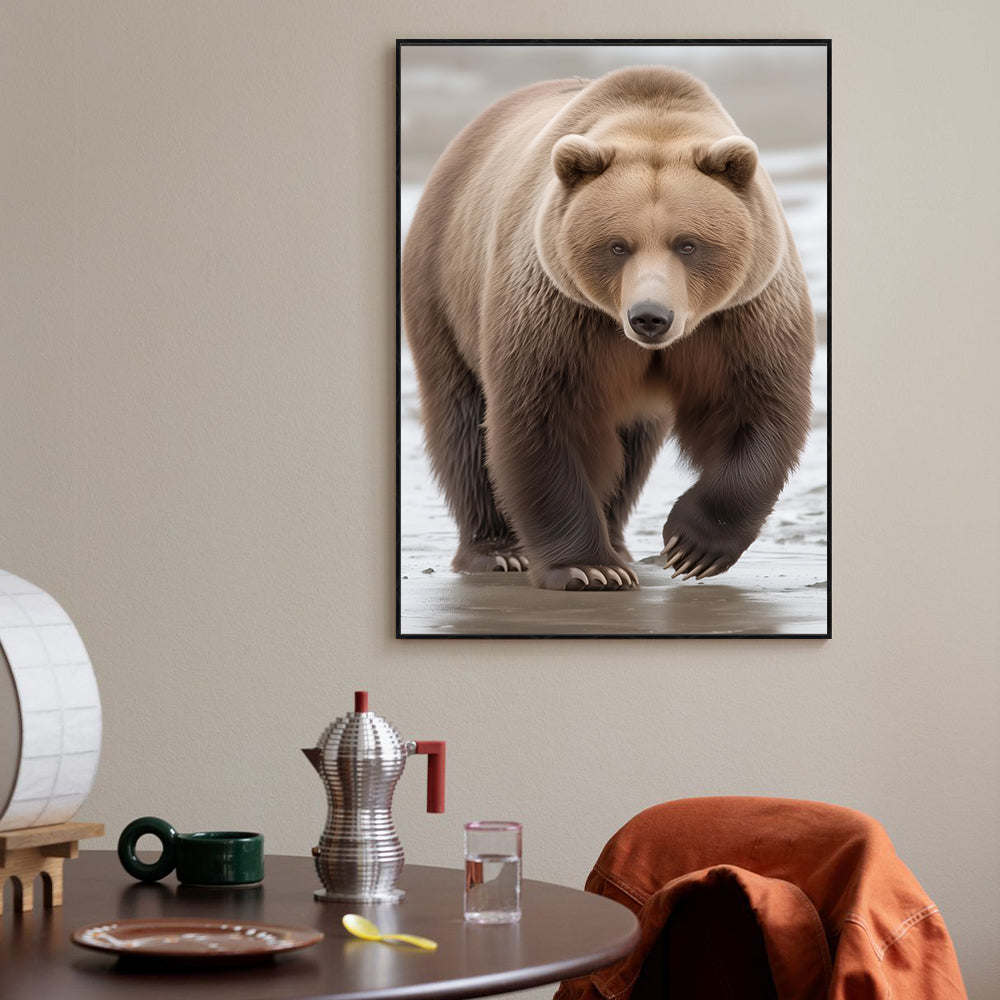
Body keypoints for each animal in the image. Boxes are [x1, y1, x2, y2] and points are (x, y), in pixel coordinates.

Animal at [402, 66, 815, 591]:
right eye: (617, 245)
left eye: (688, 244)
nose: (650, 316)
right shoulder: (558, 310)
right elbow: (544, 417)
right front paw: (587, 567)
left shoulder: (741, 315)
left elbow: (755, 408)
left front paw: (692, 547)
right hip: (443, 288)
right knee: (463, 424)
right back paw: (498, 551)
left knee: (632, 449)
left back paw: (619, 542)